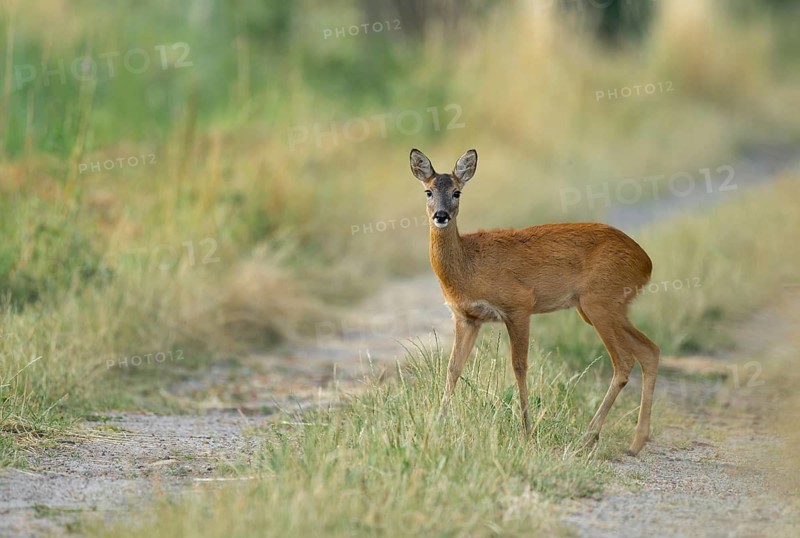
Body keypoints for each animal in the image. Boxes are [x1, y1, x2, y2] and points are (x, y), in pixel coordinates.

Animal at [409, 148, 660, 455]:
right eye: (428, 191)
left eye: (457, 192)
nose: (441, 216)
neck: (469, 266)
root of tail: (646, 263)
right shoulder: (467, 317)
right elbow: (453, 368)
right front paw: (438, 424)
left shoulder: (519, 305)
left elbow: (519, 366)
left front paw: (526, 430)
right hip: (606, 307)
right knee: (649, 350)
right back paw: (635, 442)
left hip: (599, 301)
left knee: (624, 361)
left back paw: (588, 437)